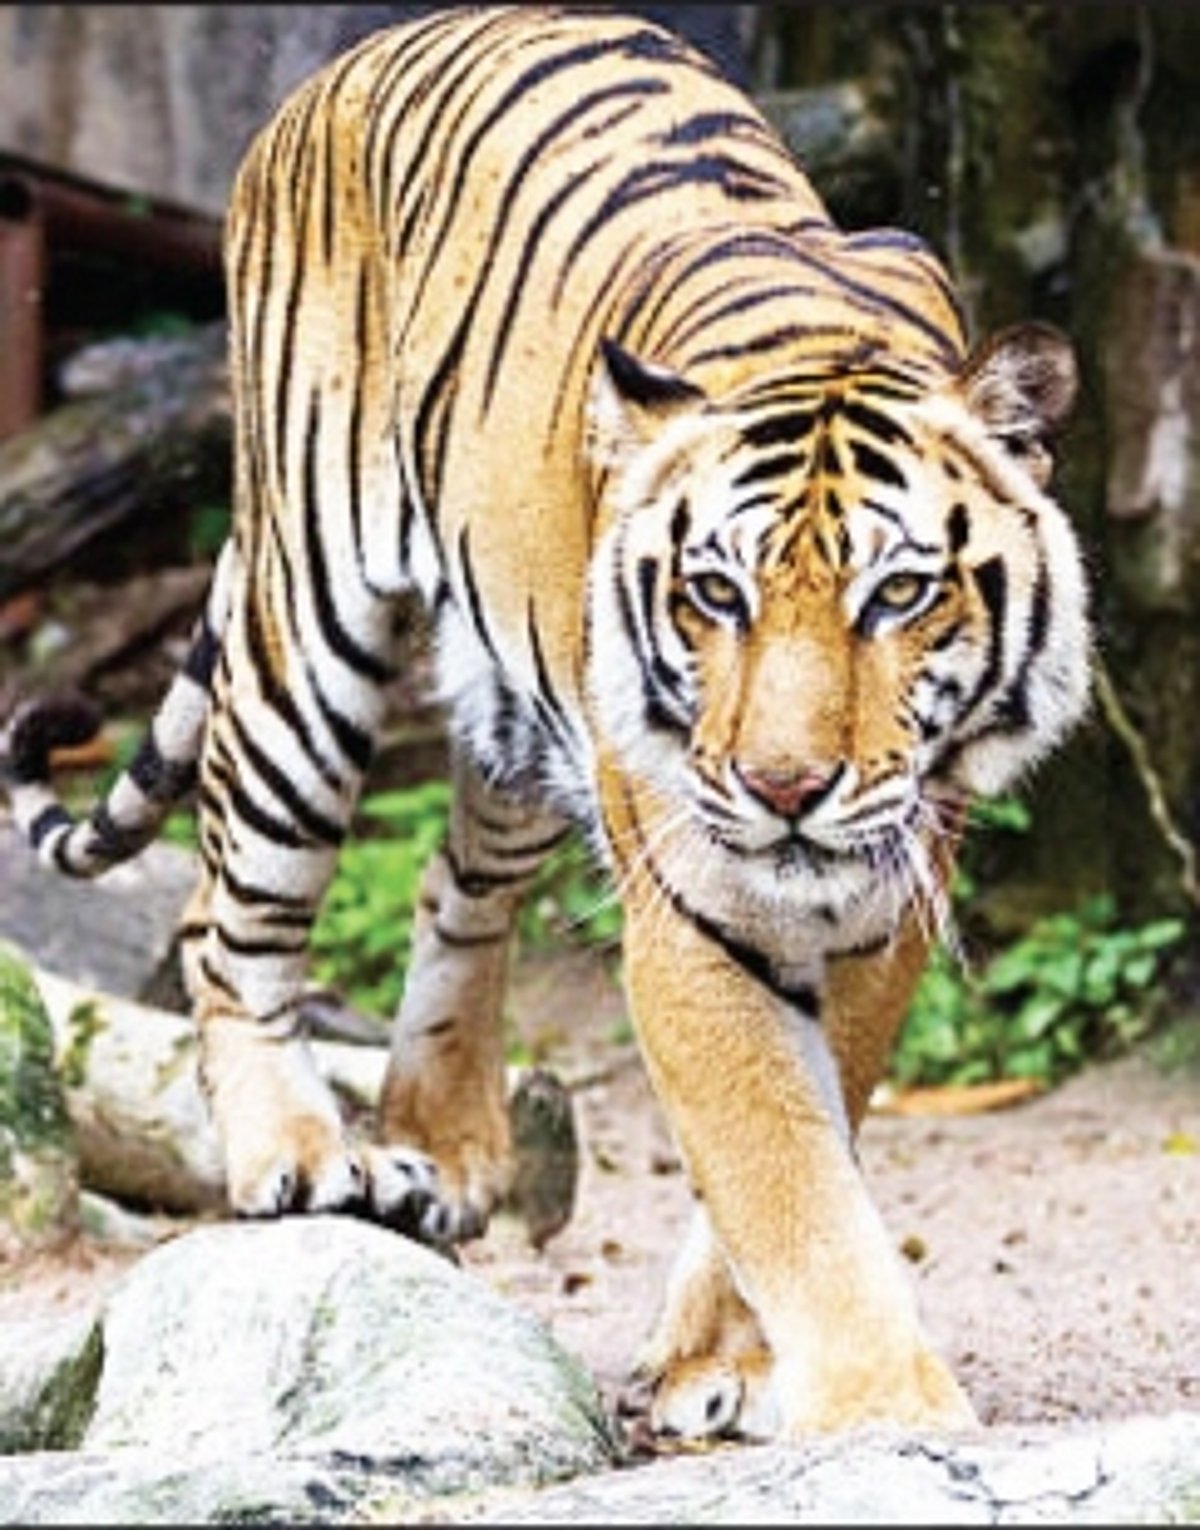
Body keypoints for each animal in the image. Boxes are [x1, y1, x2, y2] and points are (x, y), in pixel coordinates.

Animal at [0, 5, 1092, 1438]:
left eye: (898, 594)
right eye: (716, 594)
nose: (785, 788)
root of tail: (364, 56)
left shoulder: (885, 898)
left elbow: (813, 1128)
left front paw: (719, 1363)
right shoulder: (694, 914)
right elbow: (782, 1166)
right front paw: (883, 1410)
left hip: (518, 709)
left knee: (452, 892)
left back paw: (446, 1152)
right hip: (309, 628)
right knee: (227, 915)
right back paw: (301, 1157)